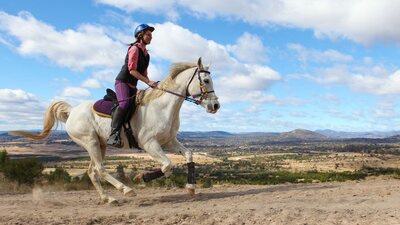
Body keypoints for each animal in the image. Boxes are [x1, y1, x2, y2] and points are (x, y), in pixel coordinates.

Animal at [11, 57, 219, 203]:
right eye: (206, 80)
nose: (215, 106)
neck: (162, 106)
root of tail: (72, 112)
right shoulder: (150, 144)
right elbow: (167, 165)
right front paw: (142, 177)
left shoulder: (169, 141)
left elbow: (188, 156)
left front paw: (190, 187)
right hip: (90, 142)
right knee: (100, 169)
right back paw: (126, 190)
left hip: (99, 144)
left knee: (92, 171)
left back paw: (108, 199)